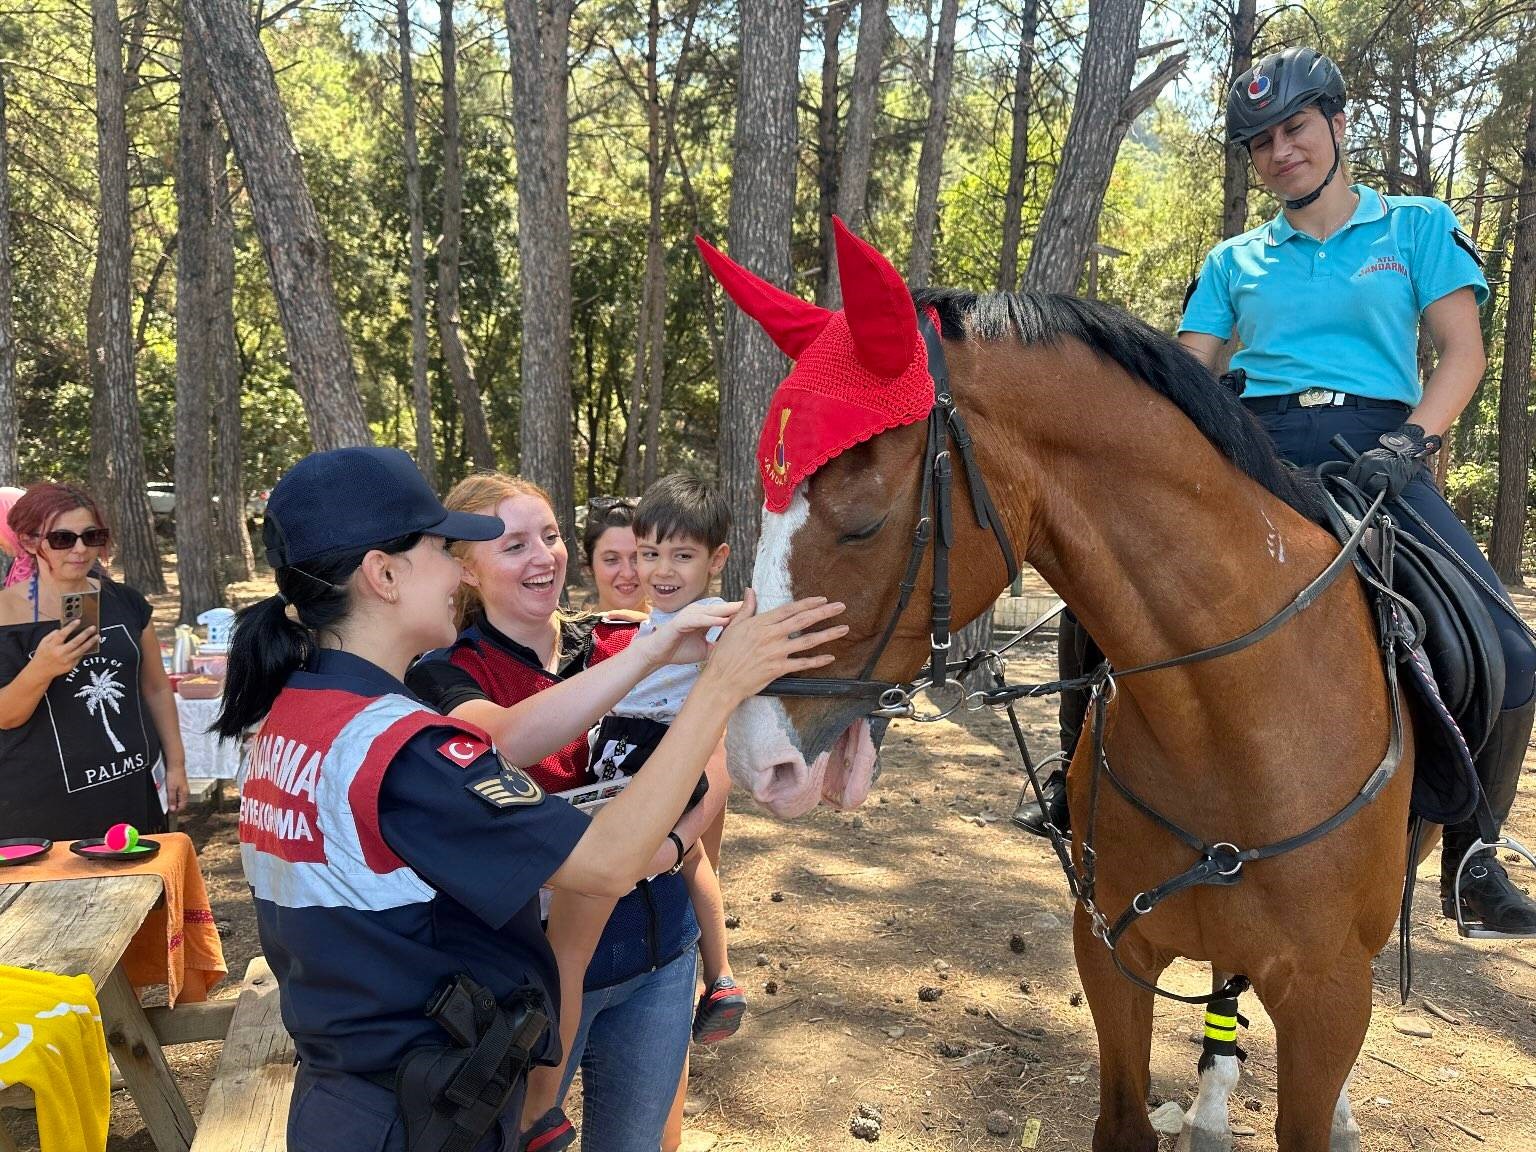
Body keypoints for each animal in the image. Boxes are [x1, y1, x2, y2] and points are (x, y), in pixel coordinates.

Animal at [712, 221, 1406, 1148]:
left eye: (863, 521)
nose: (757, 760)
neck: (1238, 720)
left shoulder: (1328, 994)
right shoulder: (1111, 951)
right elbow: (1122, 1122)